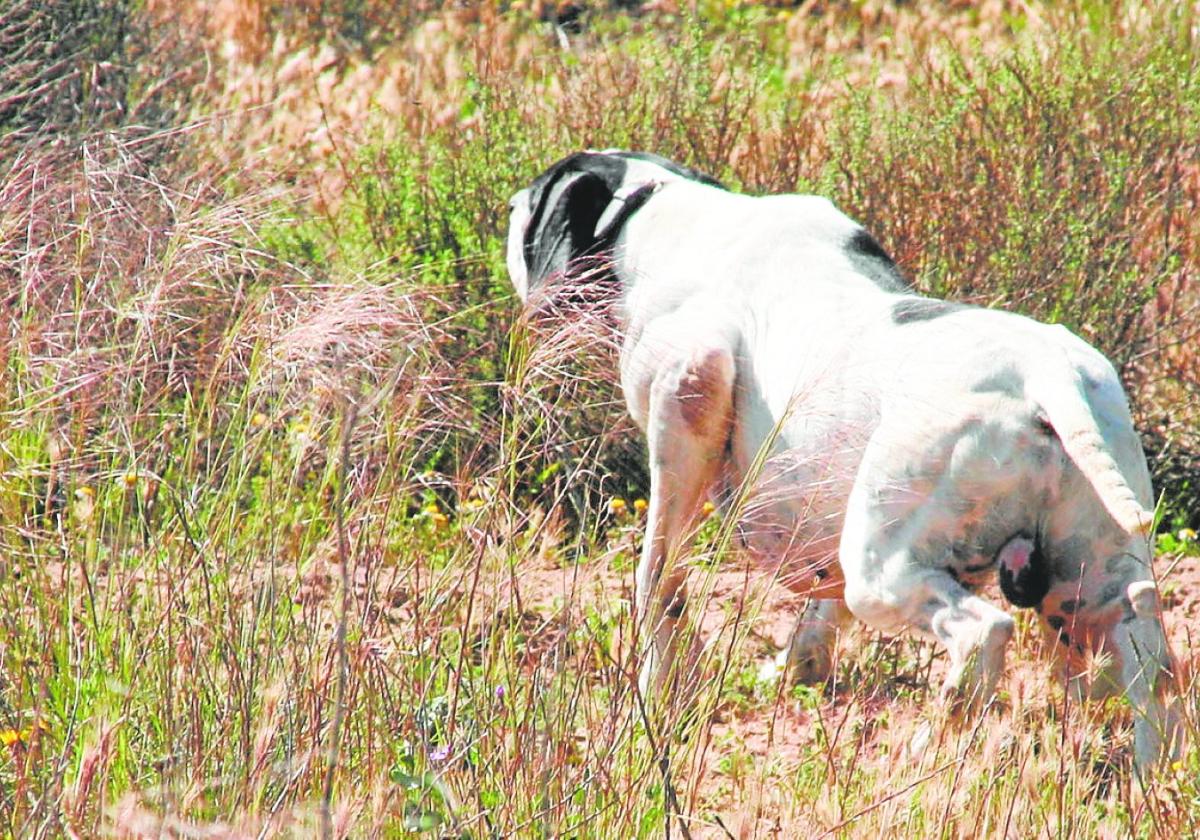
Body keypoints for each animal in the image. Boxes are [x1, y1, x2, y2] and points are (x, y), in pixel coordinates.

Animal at [501, 149, 1176, 768]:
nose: (508, 207)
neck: (668, 214)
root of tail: (1048, 376)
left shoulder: (683, 406)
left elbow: (657, 580)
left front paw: (657, 696)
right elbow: (816, 609)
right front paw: (797, 668)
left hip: (885, 570)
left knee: (984, 634)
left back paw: (925, 752)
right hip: (1084, 585)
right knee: (1147, 644)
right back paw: (1151, 777)